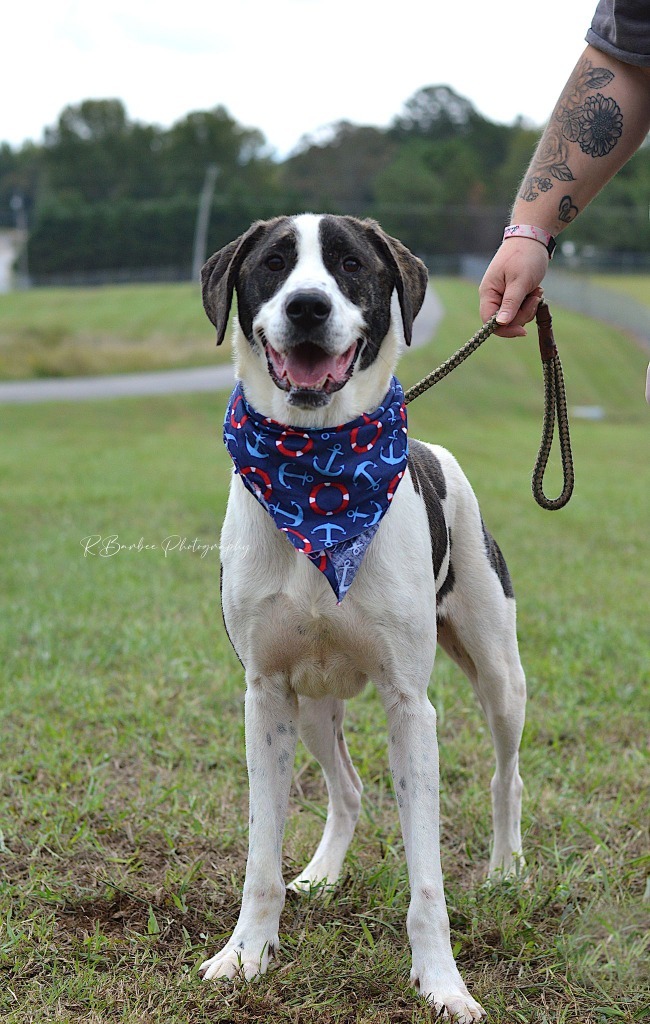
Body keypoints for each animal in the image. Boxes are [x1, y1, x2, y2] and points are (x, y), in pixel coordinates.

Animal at [195, 211, 528, 1019]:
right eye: (273, 263)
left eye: (351, 265)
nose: (307, 307)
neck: (319, 475)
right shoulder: (266, 693)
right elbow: (260, 858)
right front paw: (246, 954)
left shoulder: (410, 703)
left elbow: (427, 881)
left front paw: (442, 983)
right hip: (314, 705)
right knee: (346, 789)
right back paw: (319, 875)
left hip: (500, 675)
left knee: (506, 776)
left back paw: (506, 869)